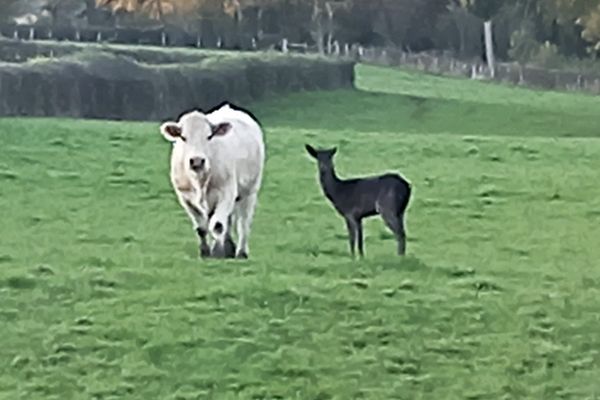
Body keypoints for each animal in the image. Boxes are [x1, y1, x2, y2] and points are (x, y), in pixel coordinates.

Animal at [159, 103, 264, 260]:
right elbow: (201, 228)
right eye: (183, 137)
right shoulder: (185, 197)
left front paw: (217, 252)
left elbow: (218, 225)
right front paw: (205, 252)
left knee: (243, 223)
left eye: (209, 136)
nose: (197, 160)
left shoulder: (227, 192)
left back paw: (241, 252)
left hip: (249, 191)